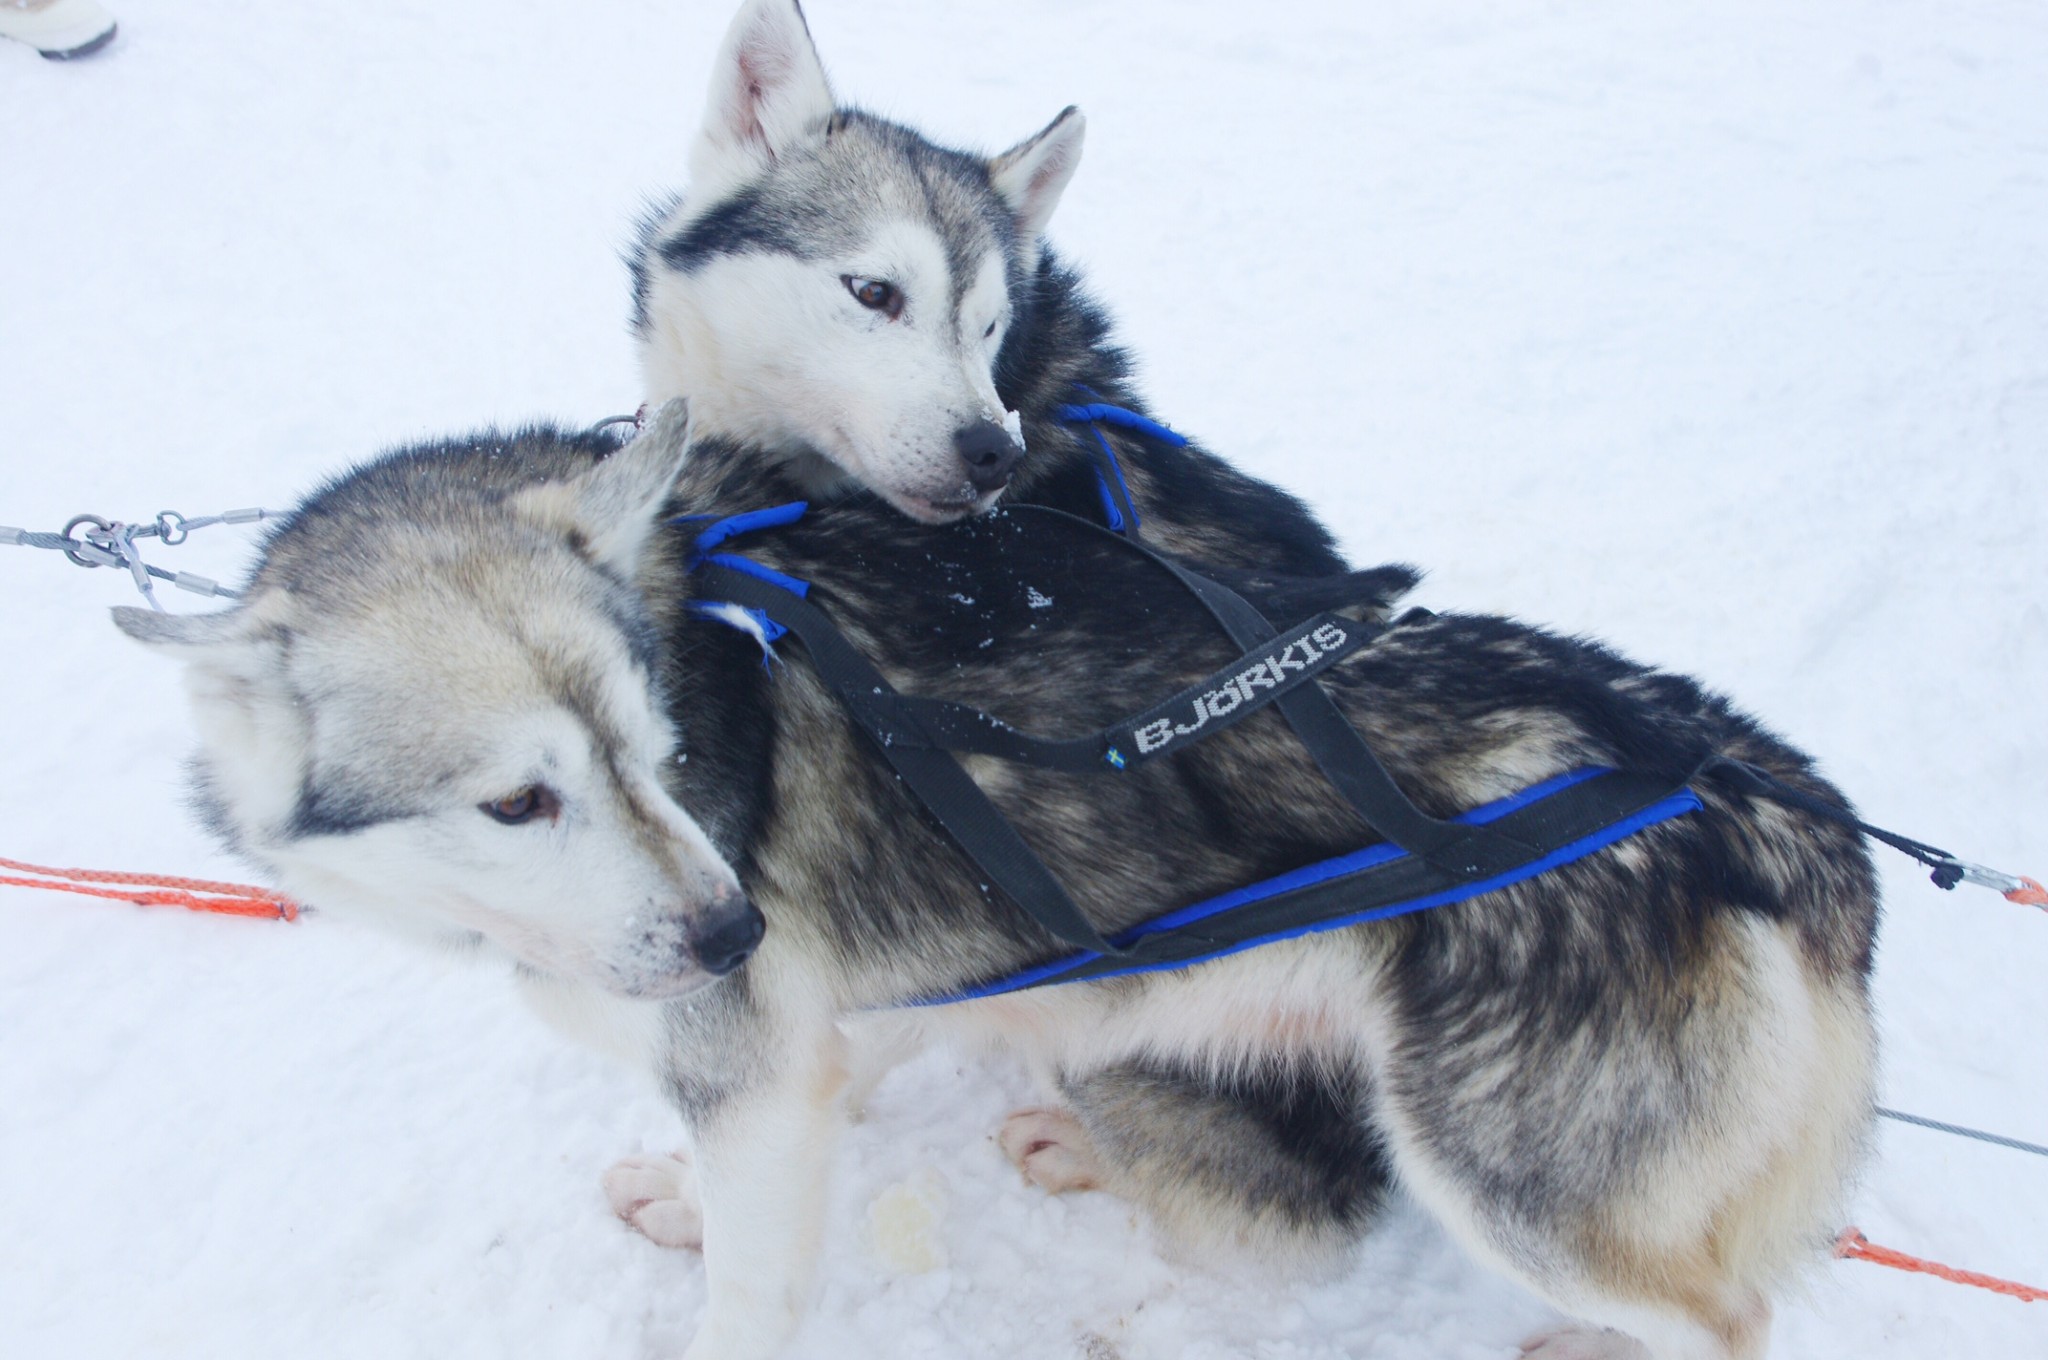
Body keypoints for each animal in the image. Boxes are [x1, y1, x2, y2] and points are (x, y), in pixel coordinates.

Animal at [112, 405, 1875, 1360]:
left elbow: (750, 1281)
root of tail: (1736, 776)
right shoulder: (834, 1031)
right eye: (518, 800)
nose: (732, 928)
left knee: (1725, 1321)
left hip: (1509, 1180)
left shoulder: (750, 1068)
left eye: (655, 738)